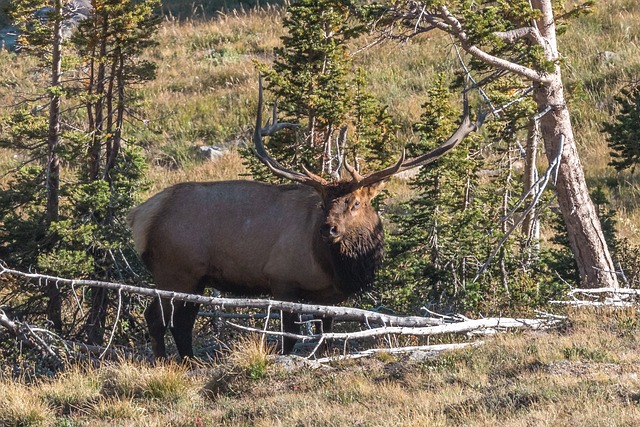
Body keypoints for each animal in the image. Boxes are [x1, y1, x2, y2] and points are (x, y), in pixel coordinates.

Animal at [127, 77, 482, 358]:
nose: (329, 229)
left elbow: (326, 335)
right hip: (174, 270)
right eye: (323, 203)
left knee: (181, 322)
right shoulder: (282, 280)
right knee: (156, 318)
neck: (338, 267)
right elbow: (288, 337)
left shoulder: (331, 296)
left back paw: (190, 362)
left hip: (195, 279)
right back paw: (164, 362)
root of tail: (141, 215)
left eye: (355, 203)